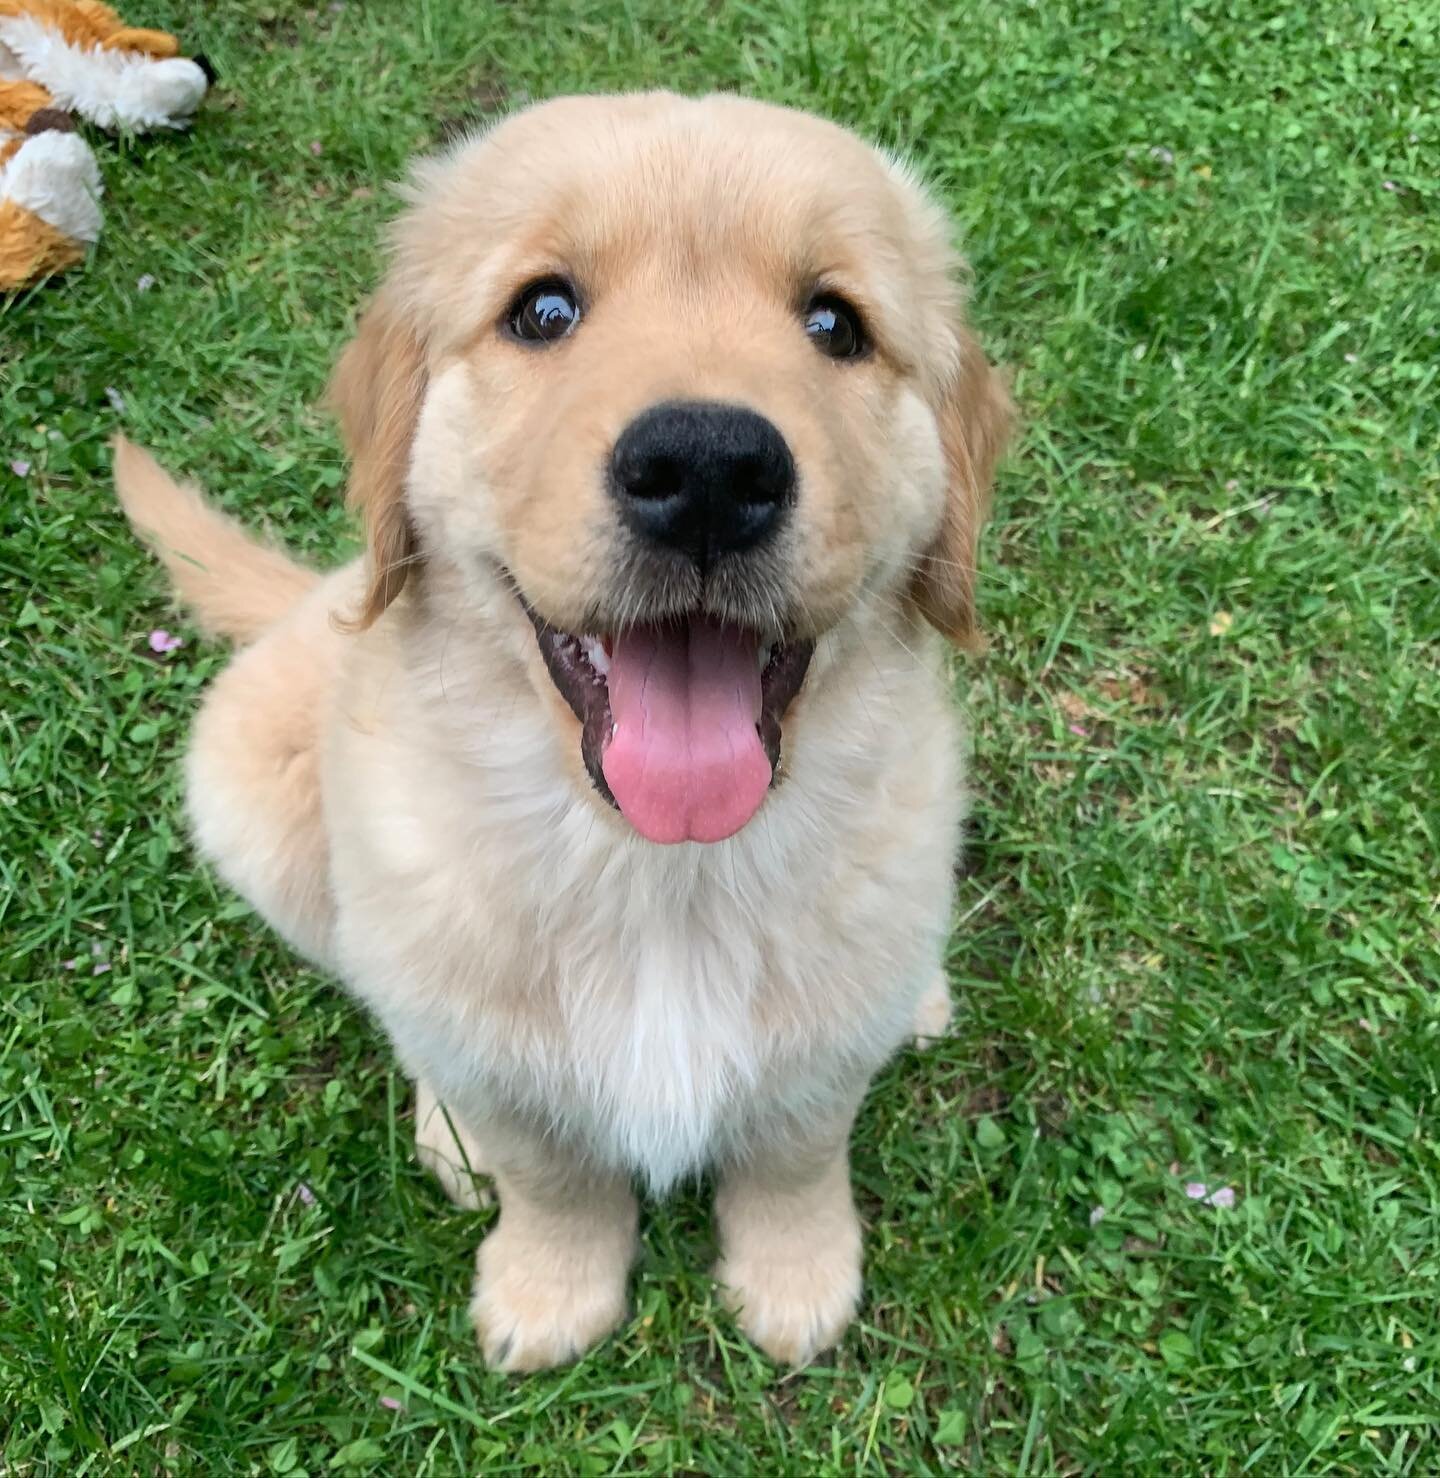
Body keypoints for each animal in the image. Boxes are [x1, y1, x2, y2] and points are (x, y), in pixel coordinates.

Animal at [112, 92, 1017, 1365]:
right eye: (542, 310)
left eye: (836, 323)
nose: (707, 468)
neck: (657, 866)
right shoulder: (496, 1049)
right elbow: (551, 1169)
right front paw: (552, 1290)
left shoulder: (820, 1046)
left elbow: (797, 1148)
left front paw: (796, 1279)